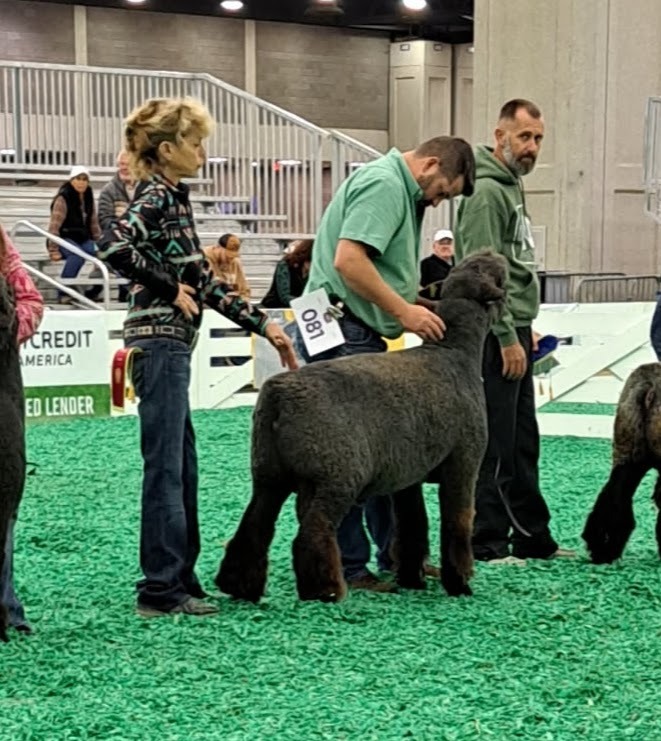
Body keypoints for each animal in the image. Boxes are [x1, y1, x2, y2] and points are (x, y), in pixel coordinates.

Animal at [216, 250, 507, 603]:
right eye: (489, 272)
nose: (493, 252)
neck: (455, 352)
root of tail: (277, 395)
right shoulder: (463, 462)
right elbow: (457, 522)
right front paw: (460, 583)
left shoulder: (408, 474)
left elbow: (412, 526)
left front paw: (412, 579)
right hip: (335, 475)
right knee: (313, 531)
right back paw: (326, 591)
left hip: (269, 474)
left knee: (254, 527)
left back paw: (239, 586)